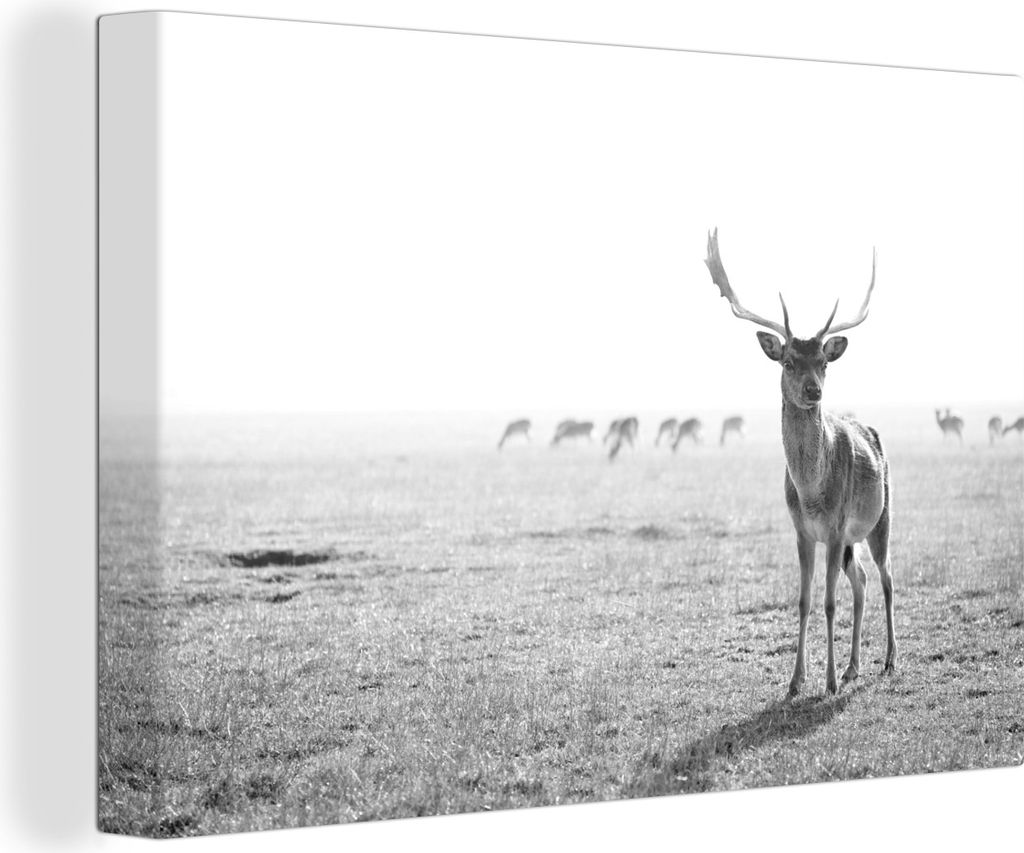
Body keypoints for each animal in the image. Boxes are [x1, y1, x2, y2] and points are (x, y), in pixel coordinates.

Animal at [702, 228, 896, 696]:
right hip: (851, 540)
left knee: (886, 580)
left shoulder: (836, 526)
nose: (813, 390)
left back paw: (888, 660)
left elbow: (828, 602)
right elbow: (805, 600)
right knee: (862, 582)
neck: (811, 493)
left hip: (880, 519)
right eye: (789, 361)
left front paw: (827, 682)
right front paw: (795, 681)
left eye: (824, 362)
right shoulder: (803, 531)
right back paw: (854, 667)